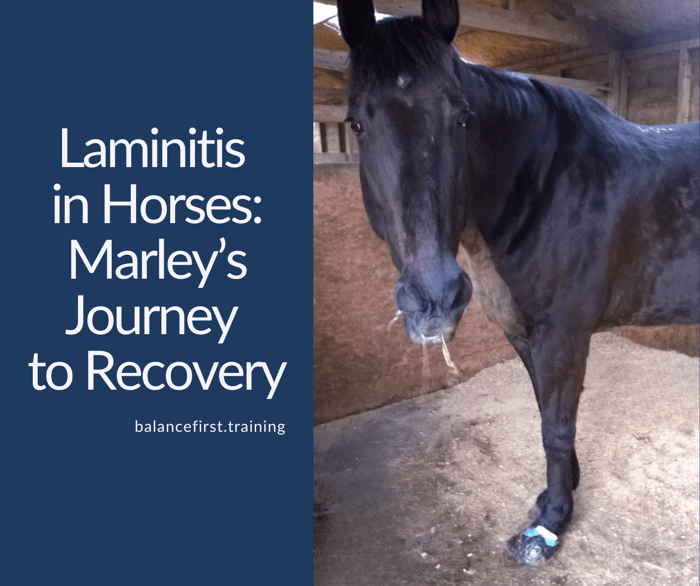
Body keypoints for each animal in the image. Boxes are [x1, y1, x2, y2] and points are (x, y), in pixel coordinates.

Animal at [336, 0, 700, 566]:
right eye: (356, 122)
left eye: (463, 118)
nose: (434, 297)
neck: (544, 187)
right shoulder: (524, 333)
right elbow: (546, 412)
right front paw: (556, 493)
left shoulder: (564, 334)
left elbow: (556, 426)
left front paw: (548, 527)